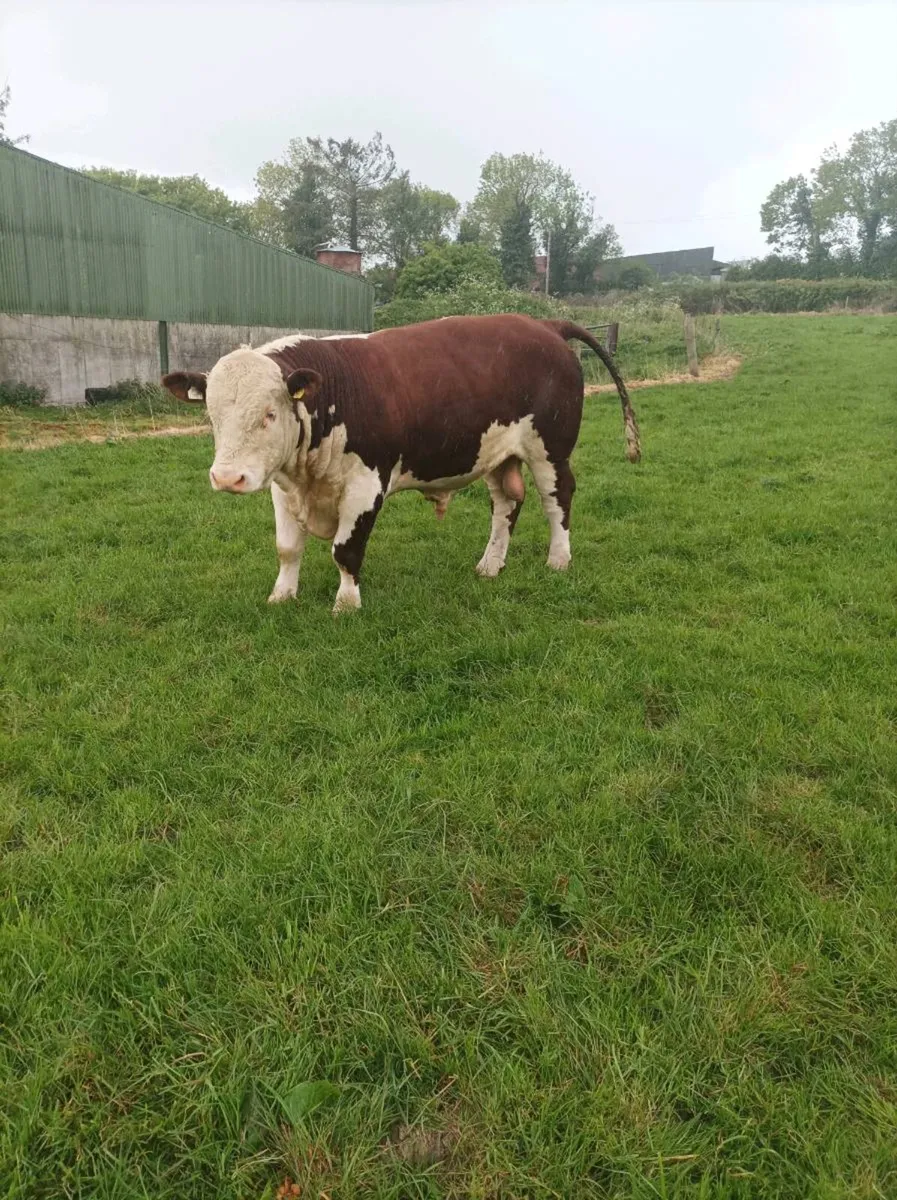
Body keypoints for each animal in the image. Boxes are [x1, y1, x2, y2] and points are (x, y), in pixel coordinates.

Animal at [161, 314, 640, 614]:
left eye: (269, 414)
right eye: (212, 415)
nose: (228, 477)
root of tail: (544, 324)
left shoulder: (367, 483)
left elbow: (345, 550)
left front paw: (346, 604)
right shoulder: (283, 484)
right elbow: (287, 548)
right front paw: (281, 597)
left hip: (550, 448)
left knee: (557, 498)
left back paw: (558, 560)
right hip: (497, 453)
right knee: (507, 503)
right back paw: (490, 566)